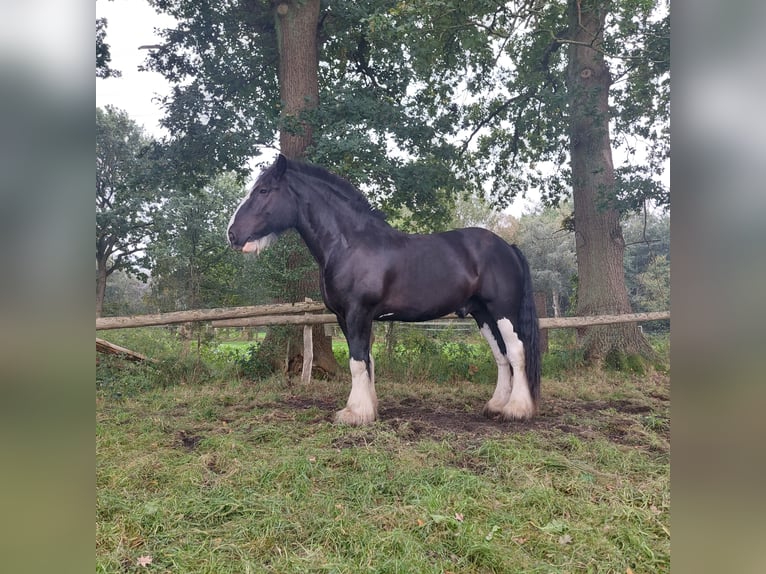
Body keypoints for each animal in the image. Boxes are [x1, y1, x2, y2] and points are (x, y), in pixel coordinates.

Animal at [226, 155, 540, 426]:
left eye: (263, 190)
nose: (232, 234)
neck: (349, 244)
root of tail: (508, 247)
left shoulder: (357, 312)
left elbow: (357, 361)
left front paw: (355, 413)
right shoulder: (345, 317)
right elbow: (367, 360)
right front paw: (369, 408)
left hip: (503, 311)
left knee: (516, 352)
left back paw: (516, 409)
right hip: (482, 314)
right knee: (501, 355)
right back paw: (496, 405)